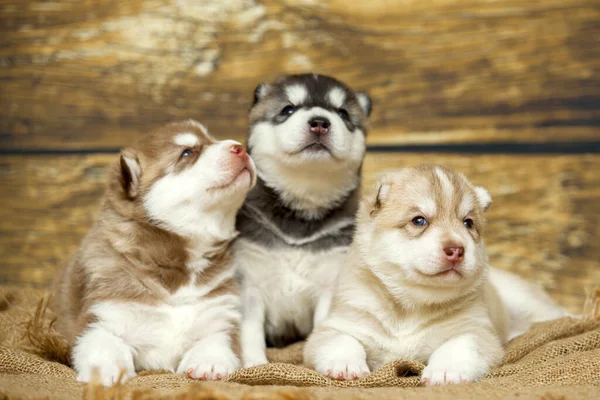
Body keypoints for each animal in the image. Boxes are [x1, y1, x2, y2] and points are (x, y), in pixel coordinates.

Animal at [53, 120, 255, 386]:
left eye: (212, 139)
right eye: (187, 153)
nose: (240, 147)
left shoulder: (219, 314)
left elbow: (216, 341)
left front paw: (208, 363)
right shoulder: (101, 315)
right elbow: (103, 342)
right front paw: (105, 369)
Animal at [233, 73, 370, 368]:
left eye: (342, 113)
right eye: (288, 109)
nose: (320, 122)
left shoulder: (330, 282)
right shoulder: (250, 282)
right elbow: (250, 333)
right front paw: (255, 366)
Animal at [308, 165, 508, 384]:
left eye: (468, 223)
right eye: (419, 221)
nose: (456, 250)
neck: (410, 305)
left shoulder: (477, 331)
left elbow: (459, 345)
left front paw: (446, 371)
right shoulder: (339, 324)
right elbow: (341, 340)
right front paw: (345, 365)